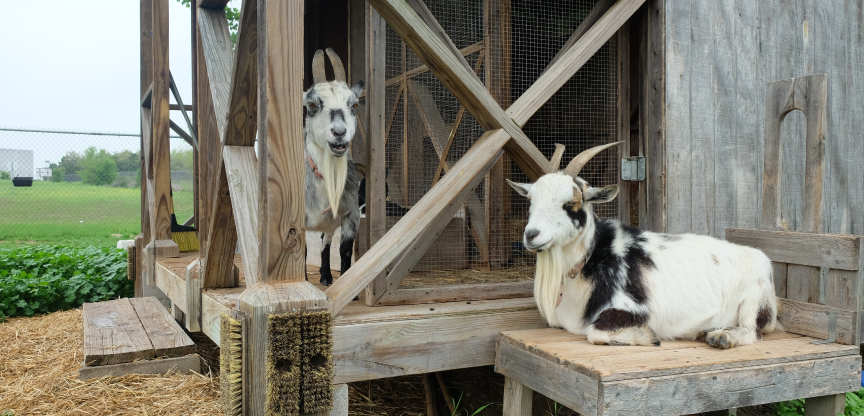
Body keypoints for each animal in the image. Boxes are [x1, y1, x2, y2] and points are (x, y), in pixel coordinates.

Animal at [304, 49, 364, 286]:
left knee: (325, 242)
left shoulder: (351, 214)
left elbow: (345, 250)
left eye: (354, 105)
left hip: (330, 222)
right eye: (311, 105)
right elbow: (299, 251)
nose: (339, 132)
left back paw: (326, 276)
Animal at [507, 143, 779, 348]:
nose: (531, 235)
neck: (590, 261)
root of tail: (759, 256)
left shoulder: (631, 307)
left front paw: (647, 336)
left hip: (755, 297)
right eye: (530, 200)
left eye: (570, 204)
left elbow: (595, 332)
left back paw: (721, 336)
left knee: (752, 331)